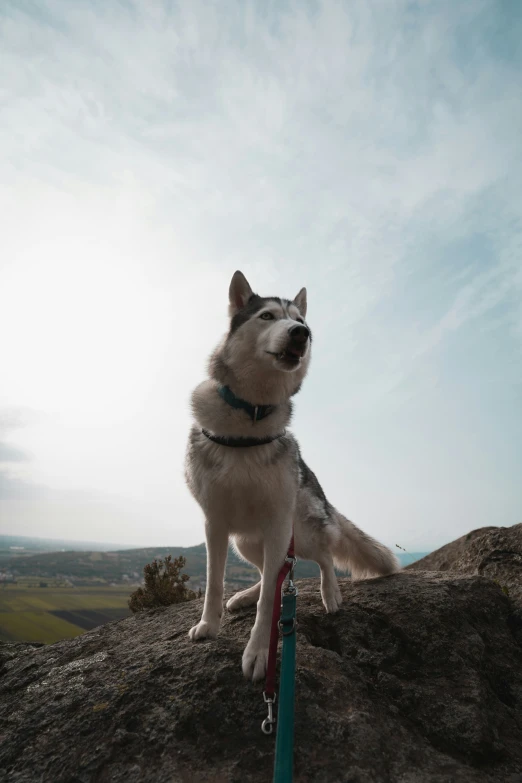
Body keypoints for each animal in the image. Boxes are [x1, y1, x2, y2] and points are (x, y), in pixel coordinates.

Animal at [185, 272, 396, 680]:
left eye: (300, 320)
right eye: (267, 316)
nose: (302, 333)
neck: (250, 417)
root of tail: (323, 496)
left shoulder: (278, 522)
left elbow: (271, 599)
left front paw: (258, 653)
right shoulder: (214, 523)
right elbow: (215, 582)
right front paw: (209, 625)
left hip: (302, 533)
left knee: (321, 559)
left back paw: (331, 593)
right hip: (248, 542)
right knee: (270, 571)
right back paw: (244, 595)